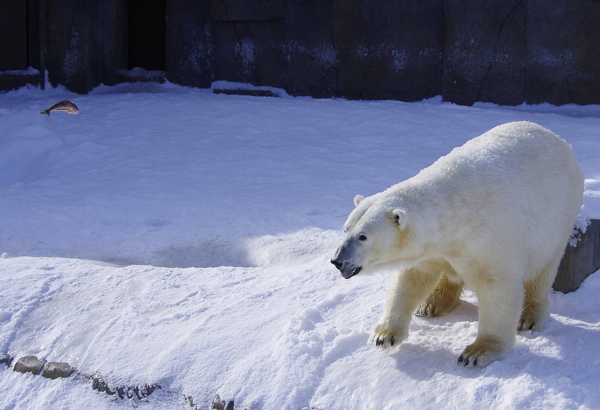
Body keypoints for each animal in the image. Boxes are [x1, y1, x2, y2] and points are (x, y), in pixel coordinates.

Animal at [330, 121, 584, 368]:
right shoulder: (434, 248)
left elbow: (497, 287)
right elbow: (411, 278)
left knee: (542, 271)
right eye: (346, 229)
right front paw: (384, 335)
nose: (337, 260)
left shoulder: (492, 238)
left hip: (559, 218)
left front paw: (477, 353)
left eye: (363, 236)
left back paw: (530, 318)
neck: (455, 213)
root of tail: (557, 138)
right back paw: (431, 304)